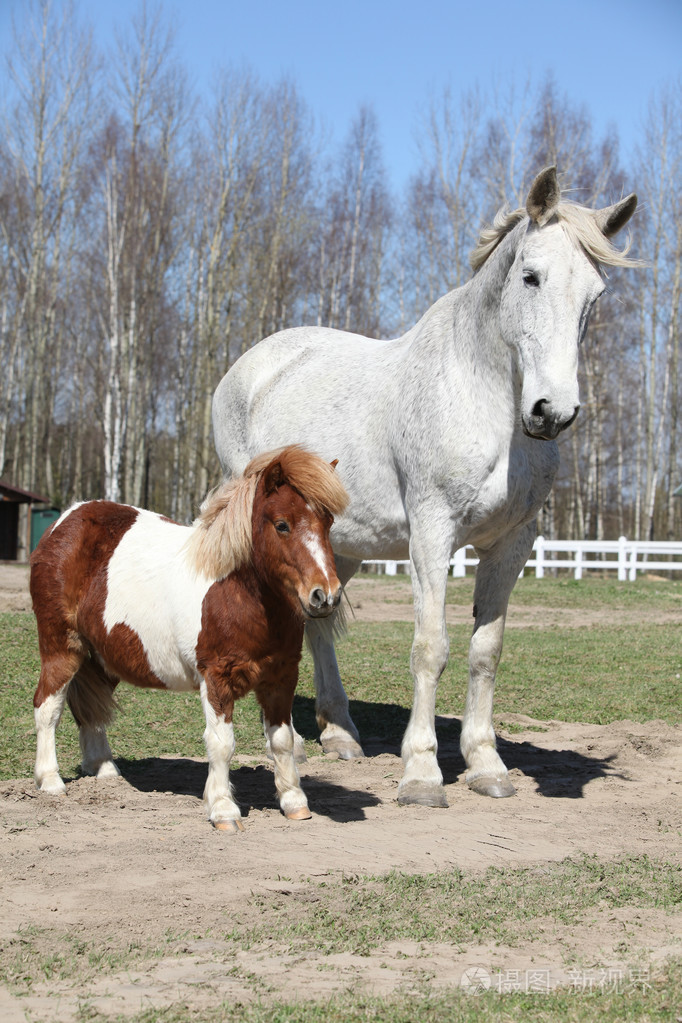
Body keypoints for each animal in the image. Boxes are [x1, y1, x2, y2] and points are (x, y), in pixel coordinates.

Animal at [30, 446, 348, 832]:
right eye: (282, 524)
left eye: (327, 524)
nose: (325, 596)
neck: (238, 594)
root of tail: (63, 523)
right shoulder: (217, 679)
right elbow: (222, 743)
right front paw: (223, 810)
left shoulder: (281, 677)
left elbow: (282, 740)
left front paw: (294, 802)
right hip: (62, 648)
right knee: (47, 706)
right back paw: (50, 780)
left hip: (102, 657)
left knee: (91, 710)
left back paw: (103, 769)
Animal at [212, 166, 639, 809]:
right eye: (531, 276)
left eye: (596, 295)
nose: (552, 412)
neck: (486, 399)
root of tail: (249, 369)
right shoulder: (432, 536)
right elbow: (430, 648)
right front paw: (420, 775)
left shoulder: (513, 543)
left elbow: (486, 650)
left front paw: (486, 765)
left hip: (339, 546)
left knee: (317, 622)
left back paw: (340, 735)